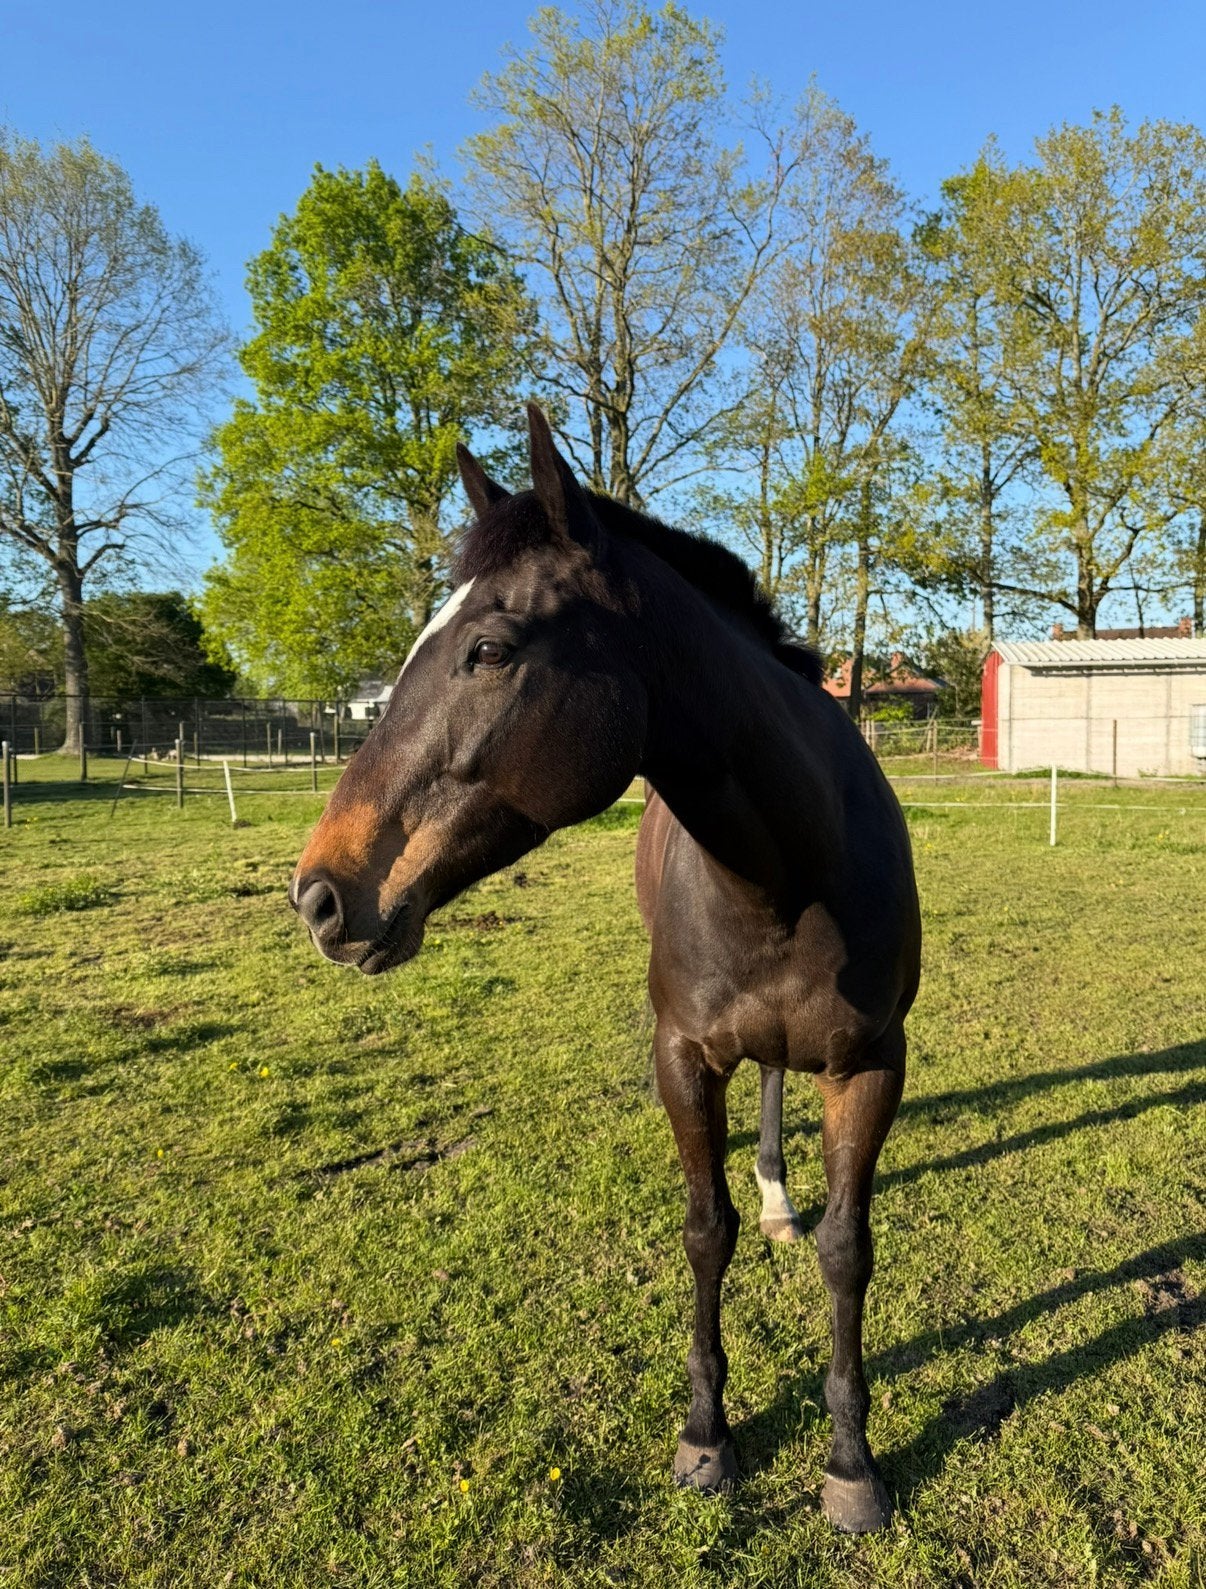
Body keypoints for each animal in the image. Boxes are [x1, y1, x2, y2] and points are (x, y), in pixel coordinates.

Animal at [290, 405, 921, 1533]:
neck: (790, 870)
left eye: (489, 648)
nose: (318, 894)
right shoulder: (684, 1057)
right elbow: (705, 1230)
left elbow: (848, 1250)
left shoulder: (870, 1067)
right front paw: (707, 1436)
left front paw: (852, 1463)